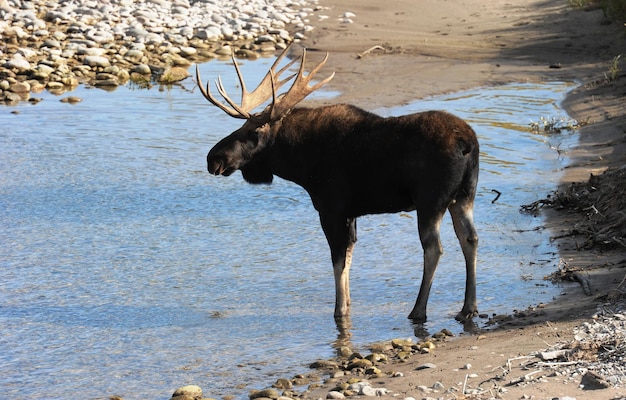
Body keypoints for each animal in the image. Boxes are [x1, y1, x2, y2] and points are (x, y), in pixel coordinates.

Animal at [196, 44, 478, 324]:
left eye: (250, 132)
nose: (213, 158)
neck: (297, 161)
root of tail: (468, 143)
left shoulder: (331, 209)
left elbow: (338, 261)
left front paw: (339, 310)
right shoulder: (350, 213)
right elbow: (349, 257)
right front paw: (349, 304)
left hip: (430, 201)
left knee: (434, 248)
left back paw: (419, 310)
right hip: (464, 196)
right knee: (470, 238)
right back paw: (468, 307)